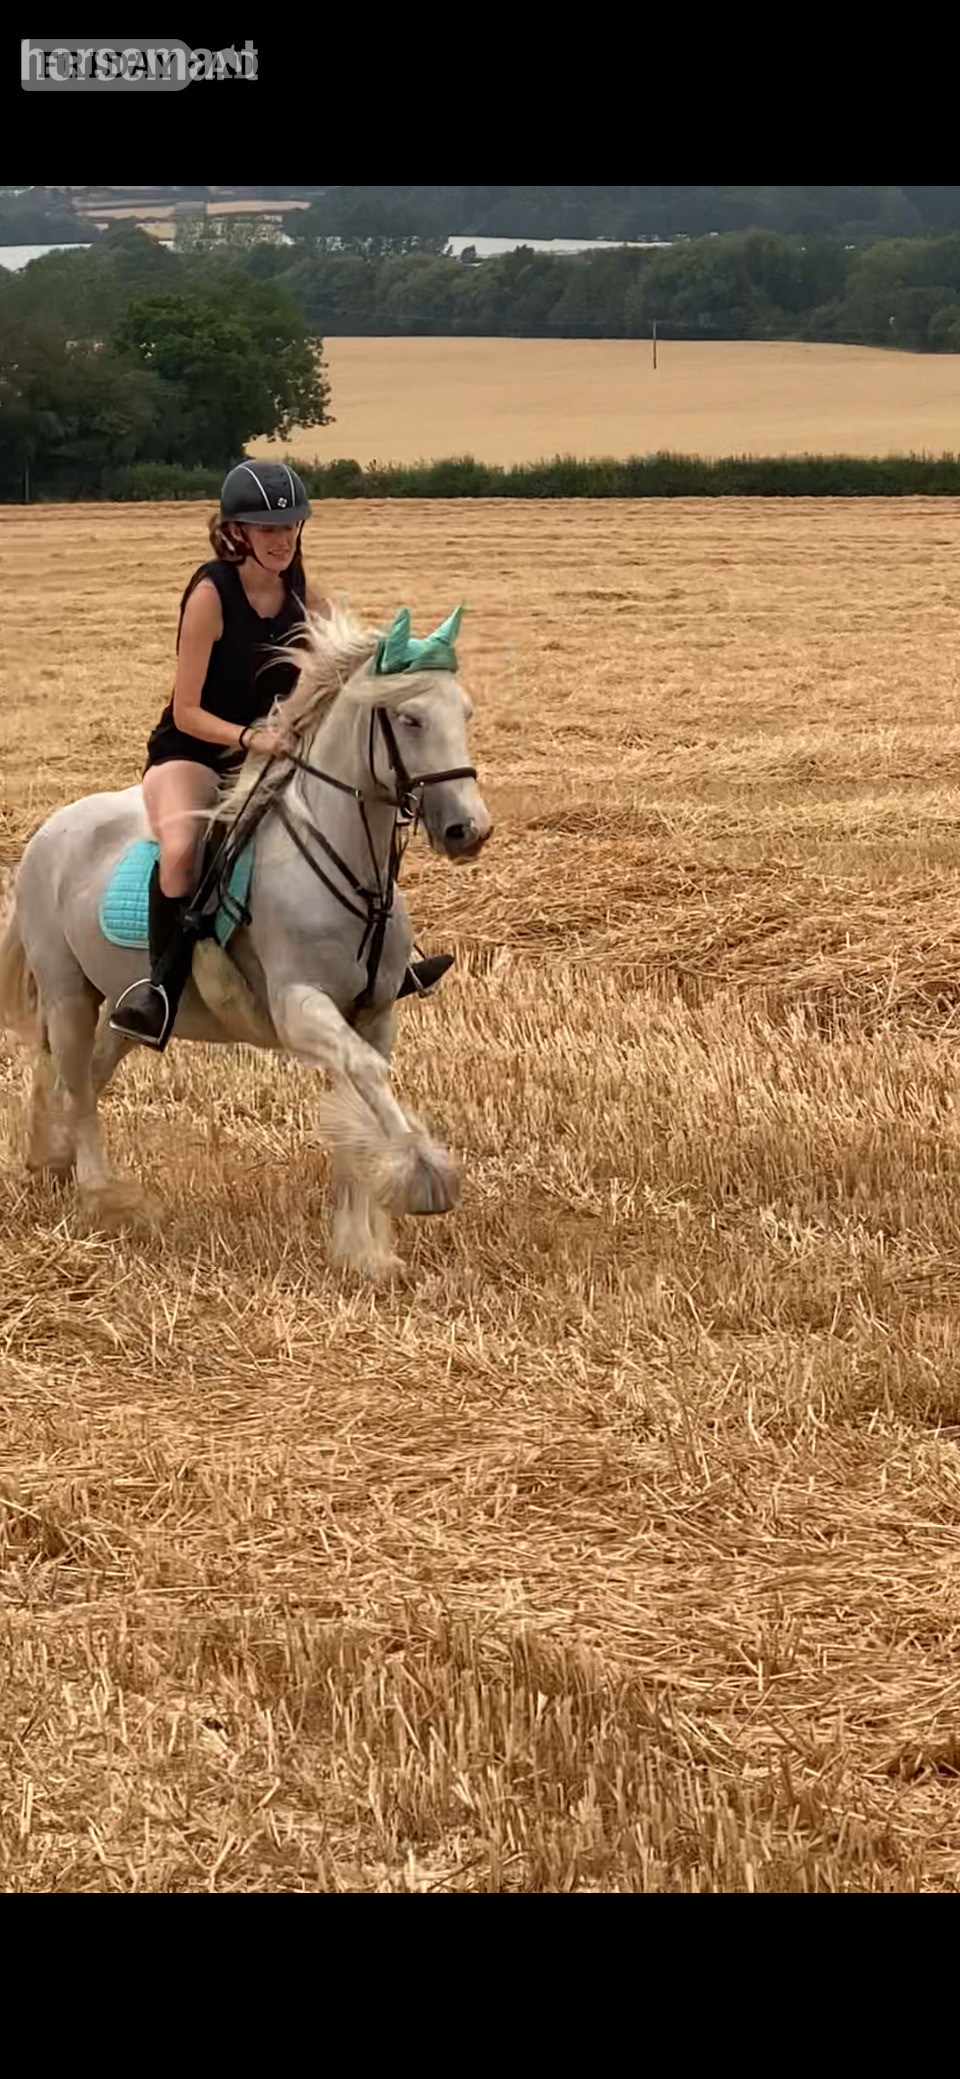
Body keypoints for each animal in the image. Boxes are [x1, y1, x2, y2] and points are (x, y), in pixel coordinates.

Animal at [0, 606, 492, 1280]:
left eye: (464, 712)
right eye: (410, 718)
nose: (470, 830)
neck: (351, 873)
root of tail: (48, 831)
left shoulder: (371, 1015)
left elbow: (360, 1098)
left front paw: (364, 1251)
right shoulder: (300, 1007)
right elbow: (368, 1084)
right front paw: (425, 1178)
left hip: (119, 1008)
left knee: (86, 1074)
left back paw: (52, 1162)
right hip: (68, 993)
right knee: (72, 1075)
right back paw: (102, 1196)